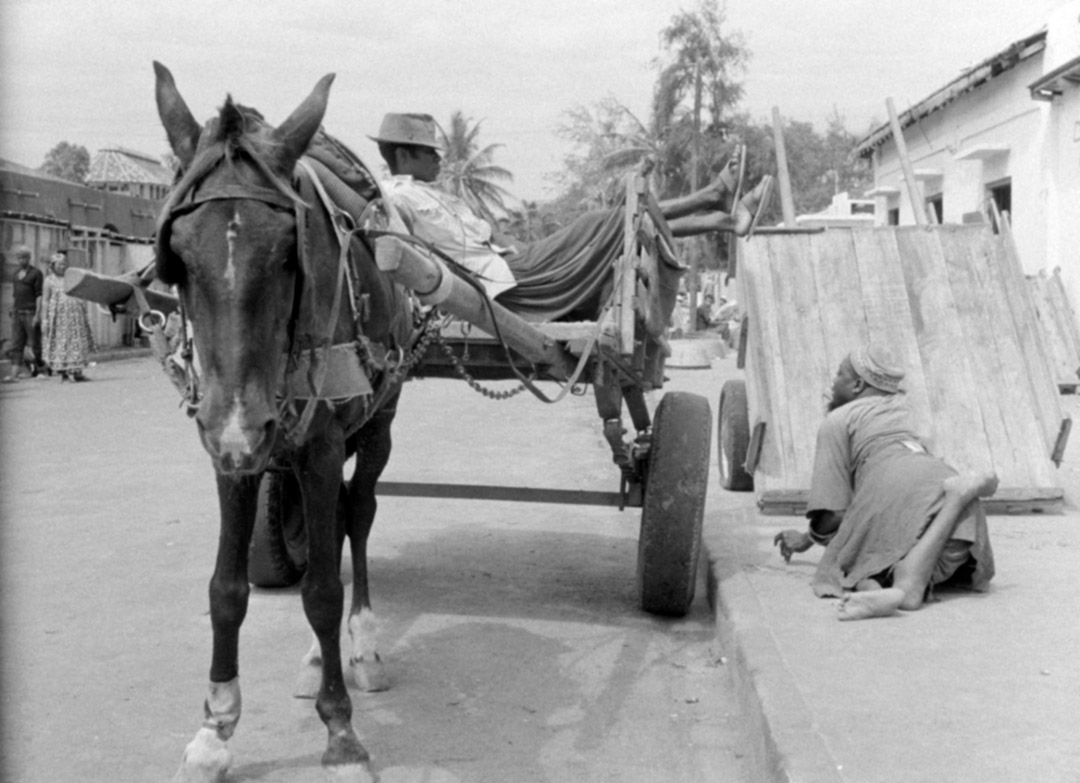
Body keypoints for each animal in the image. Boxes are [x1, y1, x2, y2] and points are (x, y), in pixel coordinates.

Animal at [156, 62, 412, 781]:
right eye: (177, 254)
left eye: (286, 254)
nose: (244, 429)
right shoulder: (230, 447)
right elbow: (226, 589)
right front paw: (215, 728)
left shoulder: (317, 443)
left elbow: (323, 590)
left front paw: (342, 729)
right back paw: (315, 658)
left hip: (375, 426)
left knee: (357, 515)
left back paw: (363, 646)